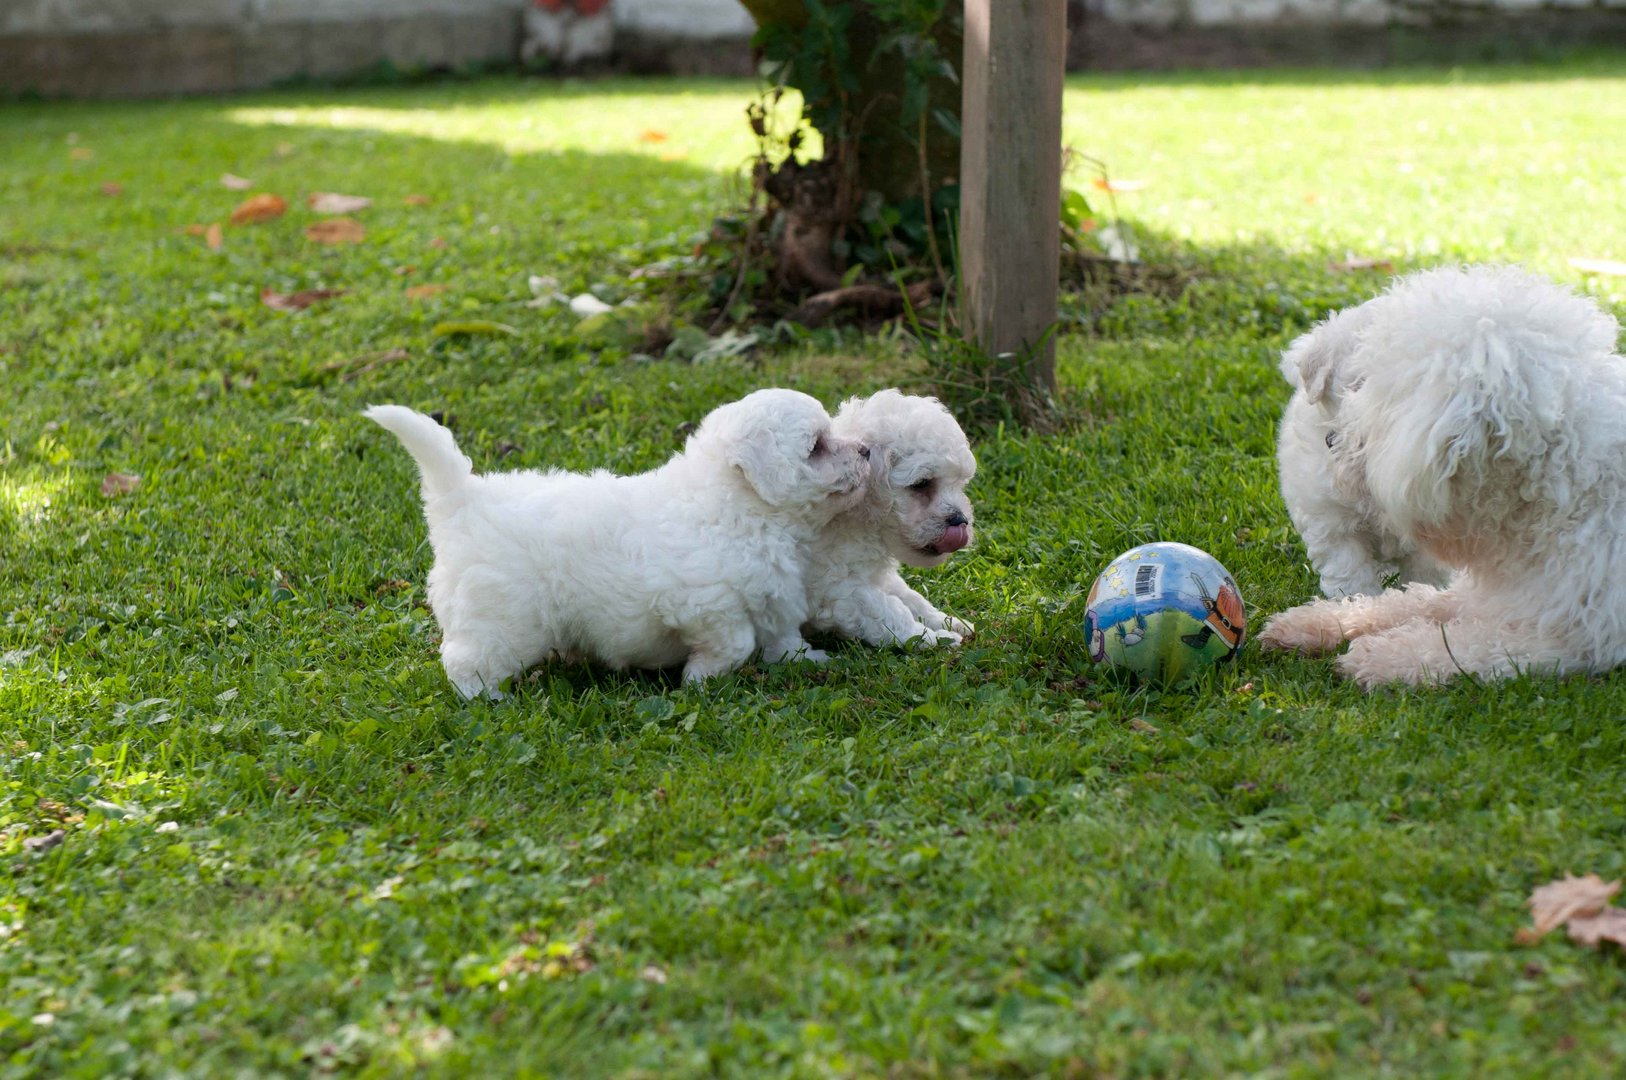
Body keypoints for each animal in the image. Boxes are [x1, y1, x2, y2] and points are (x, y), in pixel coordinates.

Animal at [372, 390, 878, 699]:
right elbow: (735, 641)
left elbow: (781, 634)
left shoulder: (773, 591)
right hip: (500, 620)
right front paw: (700, 678)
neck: (739, 508)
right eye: (816, 446)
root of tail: (464, 501)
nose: (867, 450)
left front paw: (809, 658)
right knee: (465, 661)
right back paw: (488, 698)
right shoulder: (701, 602)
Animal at [803, 395, 975, 650]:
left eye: (958, 483)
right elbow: (889, 613)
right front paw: (935, 638)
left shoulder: (875, 576)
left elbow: (911, 598)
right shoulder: (838, 589)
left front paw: (948, 621)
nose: (960, 521)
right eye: (922, 484)